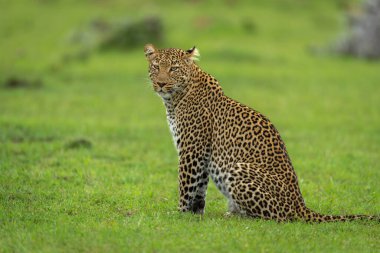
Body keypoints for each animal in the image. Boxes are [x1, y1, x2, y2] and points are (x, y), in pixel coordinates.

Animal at [142, 44, 378, 222]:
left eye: (173, 68)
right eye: (156, 67)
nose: (161, 83)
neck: (174, 99)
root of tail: (301, 205)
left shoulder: (192, 149)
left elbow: (186, 184)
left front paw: (180, 214)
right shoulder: (201, 154)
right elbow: (200, 187)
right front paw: (195, 214)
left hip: (237, 169)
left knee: (276, 217)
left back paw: (235, 215)